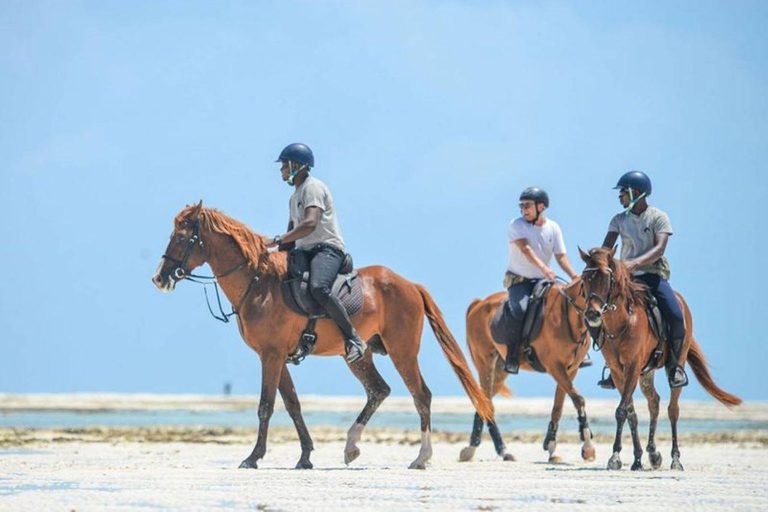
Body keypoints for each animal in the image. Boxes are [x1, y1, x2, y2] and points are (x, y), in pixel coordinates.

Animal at [153, 202, 496, 470]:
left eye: (180, 238)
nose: (159, 278)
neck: (258, 283)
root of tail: (410, 284)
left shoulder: (271, 356)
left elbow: (266, 406)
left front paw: (253, 457)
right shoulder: (276, 357)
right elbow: (293, 404)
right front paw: (305, 456)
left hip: (403, 351)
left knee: (420, 395)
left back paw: (421, 457)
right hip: (359, 355)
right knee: (378, 390)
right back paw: (351, 446)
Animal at [460, 280, 596, 464]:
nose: (597, 315)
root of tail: (479, 303)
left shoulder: (570, 370)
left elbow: (558, 407)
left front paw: (552, 450)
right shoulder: (555, 368)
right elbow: (578, 399)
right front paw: (588, 447)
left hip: (500, 372)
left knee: (483, 401)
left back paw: (481, 449)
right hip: (485, 364)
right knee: (485, 402)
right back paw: (495, 450)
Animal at [580, 248, 740, 472]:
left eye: (606, 279)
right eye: (585, 279)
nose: (592, 314)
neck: (622, 322)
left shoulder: (632, 367)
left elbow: (621, 411)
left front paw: (615, 457)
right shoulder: (618, 371)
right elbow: (630, 412)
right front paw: (636, 458)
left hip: (675, 363)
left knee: (673, 410)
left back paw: (675, 459)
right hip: (646, 372)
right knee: (654, 401)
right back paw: (653, 454)